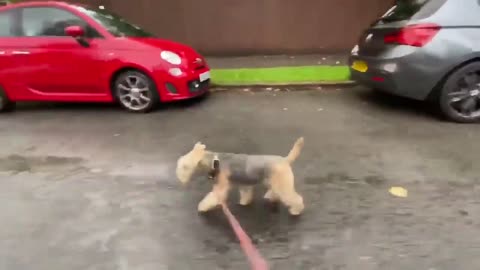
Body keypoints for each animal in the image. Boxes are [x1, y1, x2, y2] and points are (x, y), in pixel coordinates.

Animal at [175, 137, 304, 215]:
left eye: (185, 166)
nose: (180, 179)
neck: (214, 161)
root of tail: (285, 160)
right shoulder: (244, 184)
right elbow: (245, 194)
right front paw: (244, 202)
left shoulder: (221, 188)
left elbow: (211, 198)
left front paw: (202, 207)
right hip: (272, 181)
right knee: (276, 192)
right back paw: (271, 197)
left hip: (282, 183)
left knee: (294, 198)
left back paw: (296, 210)